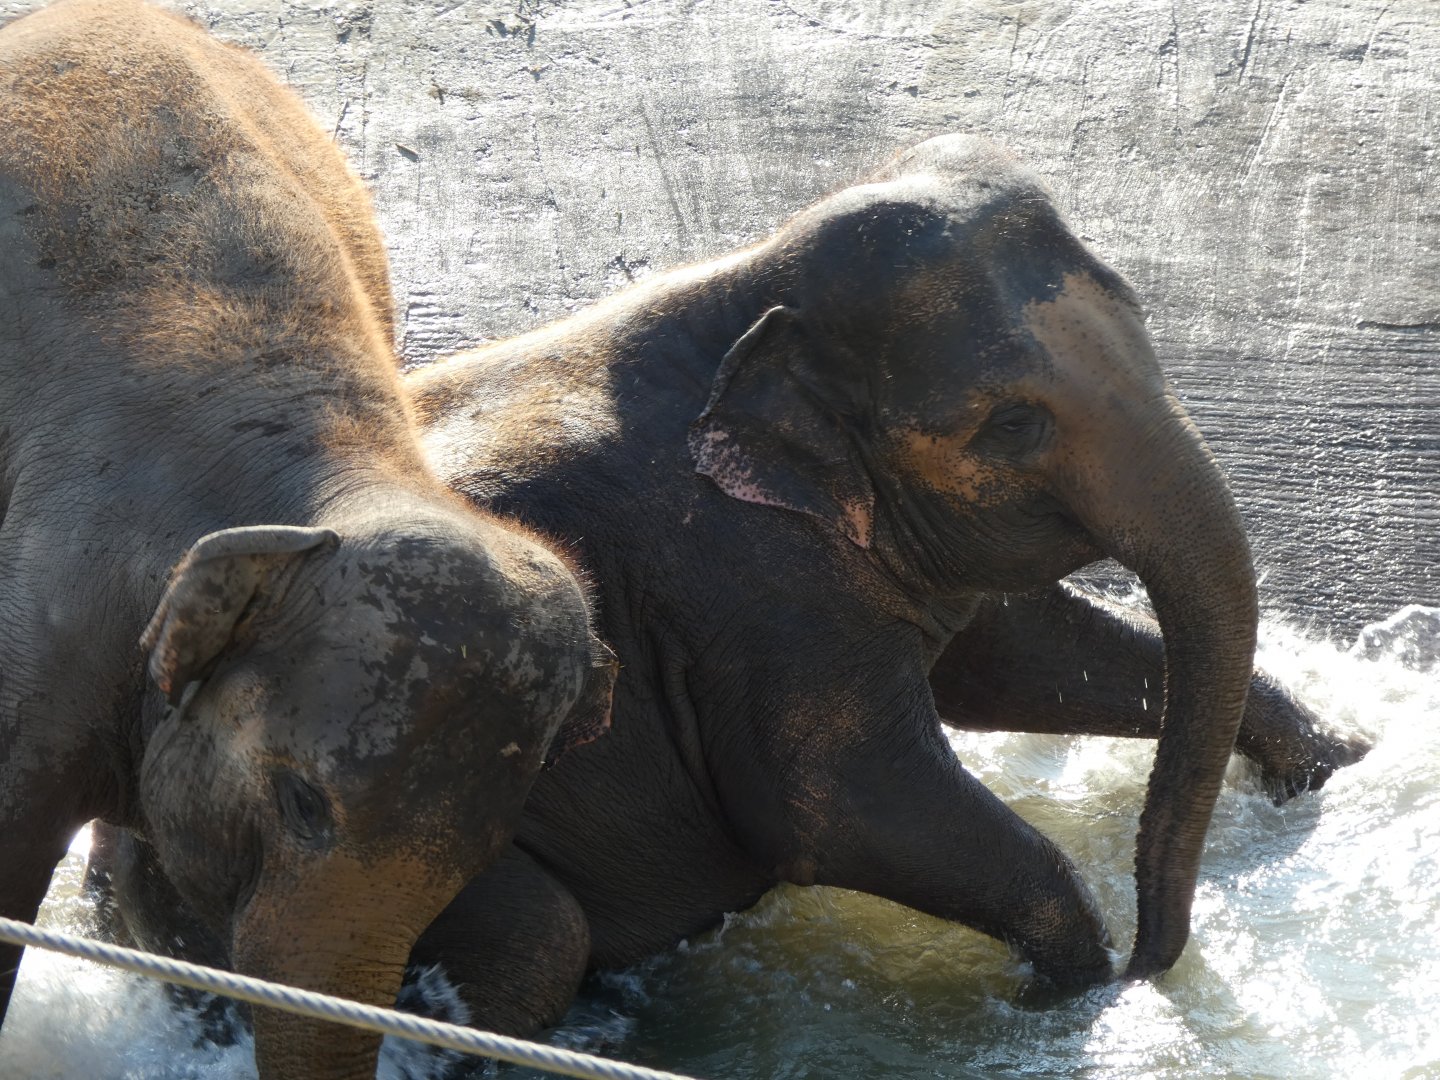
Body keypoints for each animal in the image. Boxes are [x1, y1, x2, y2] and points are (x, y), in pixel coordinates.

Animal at [97, 133, 1367, 1047]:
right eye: (1011, 424)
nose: (1161, 958)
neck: (744, 282)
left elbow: (1020, 661)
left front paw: (1338, 765)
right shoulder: (736, 583)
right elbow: (838, 801)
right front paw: (1067, 1000)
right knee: (536, 940)